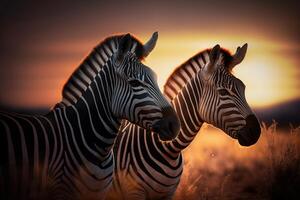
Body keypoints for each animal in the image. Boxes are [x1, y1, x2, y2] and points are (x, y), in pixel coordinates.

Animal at [106, 43, 262, 198]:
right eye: (223, 92)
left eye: (243, 88)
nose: (256, 132)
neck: (167, 150)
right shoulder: (133, 191)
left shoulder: (169, 192)